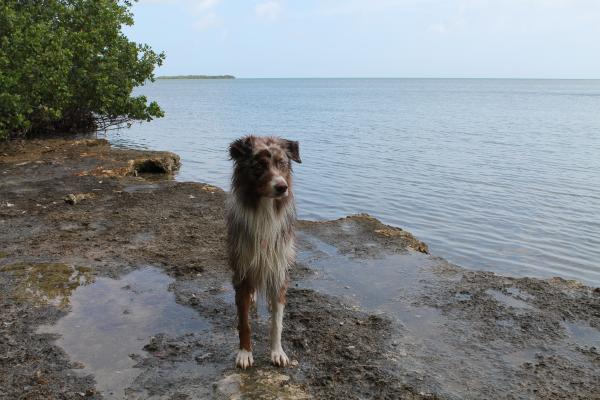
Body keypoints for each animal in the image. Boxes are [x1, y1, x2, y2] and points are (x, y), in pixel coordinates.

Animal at [225, 135, 300, 368]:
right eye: (259, 166)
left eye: (282, 163)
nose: (282, 187)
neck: (265, 210)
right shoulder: (242, 270)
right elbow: (244, 323)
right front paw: (244, 353)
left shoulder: (278, 270)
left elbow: (277, 322)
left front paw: (277, 352)